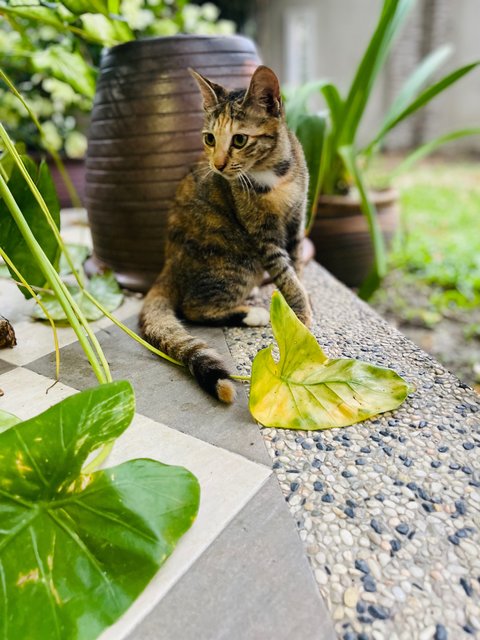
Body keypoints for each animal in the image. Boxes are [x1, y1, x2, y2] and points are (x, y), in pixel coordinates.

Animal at [139, 66, 312, 404]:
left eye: (240, 139)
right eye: (209, 138)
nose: (217, 165)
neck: (276, 175)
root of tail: (168, 265)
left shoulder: (297, 221)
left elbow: (296, 267)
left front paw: (299, 307)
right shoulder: (263, 236)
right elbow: (286, 274)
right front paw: (302, 314)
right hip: (238, 261)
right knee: (194, 308)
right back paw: (252, 314)